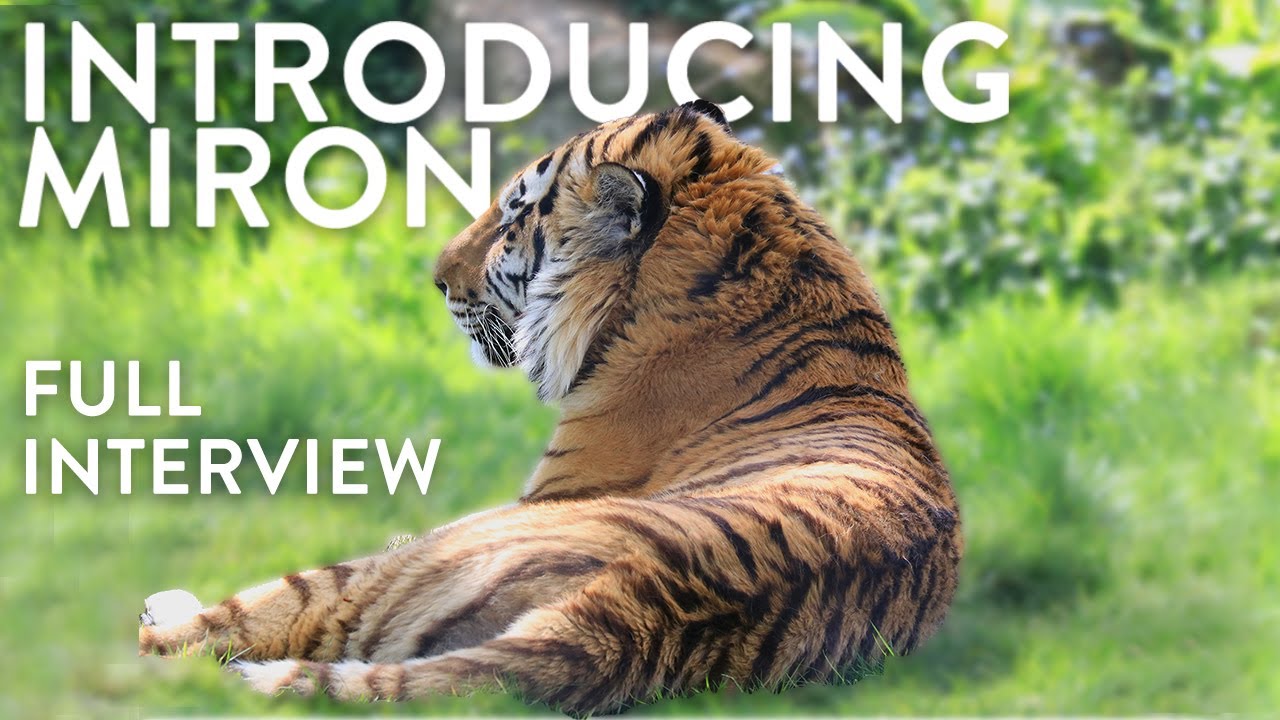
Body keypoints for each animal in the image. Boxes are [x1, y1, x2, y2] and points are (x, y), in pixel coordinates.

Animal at [138, 100, 962, 715]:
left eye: (512, 220)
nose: (434, 278)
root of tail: (635, 612)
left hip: (412, 560)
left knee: (212, 634)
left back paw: (161, 615)